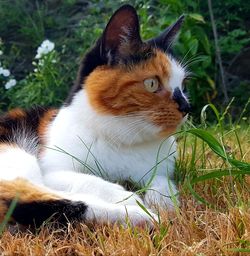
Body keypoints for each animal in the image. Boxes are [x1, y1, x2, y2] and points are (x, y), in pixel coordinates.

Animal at [0, 4, 189, 226]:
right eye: (152, 83)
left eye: (183, 85)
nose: (187, 106)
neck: (124, 142)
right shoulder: (52, 170)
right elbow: (90, 181)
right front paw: (127, 196)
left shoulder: (160, 169)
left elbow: (162, 182)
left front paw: (165, 201)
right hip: (17, 156)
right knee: (29, 197)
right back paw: (138, 213)